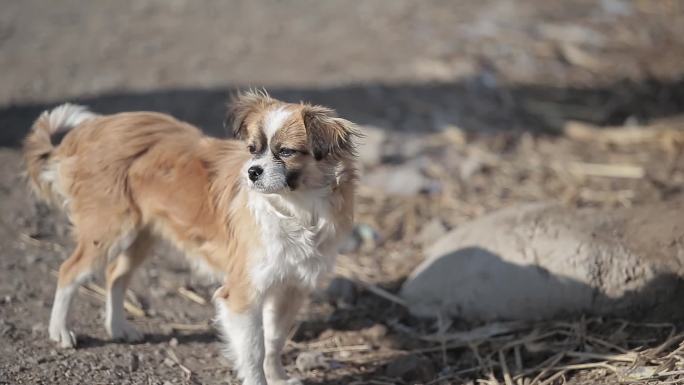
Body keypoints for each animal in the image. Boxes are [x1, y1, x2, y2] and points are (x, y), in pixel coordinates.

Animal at [24, 91, 360, 384]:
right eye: (253, 149)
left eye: (286, 152)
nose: (251, 172)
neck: (296, 209)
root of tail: (92, 129)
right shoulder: (243, 294)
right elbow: (254, 350)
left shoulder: (290, 288)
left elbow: (274, 341)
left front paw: (277, 378)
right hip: (109, 232)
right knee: (69, 271)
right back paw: (60, 331)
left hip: (141, 237)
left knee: (115, 275)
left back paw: (118, 327)